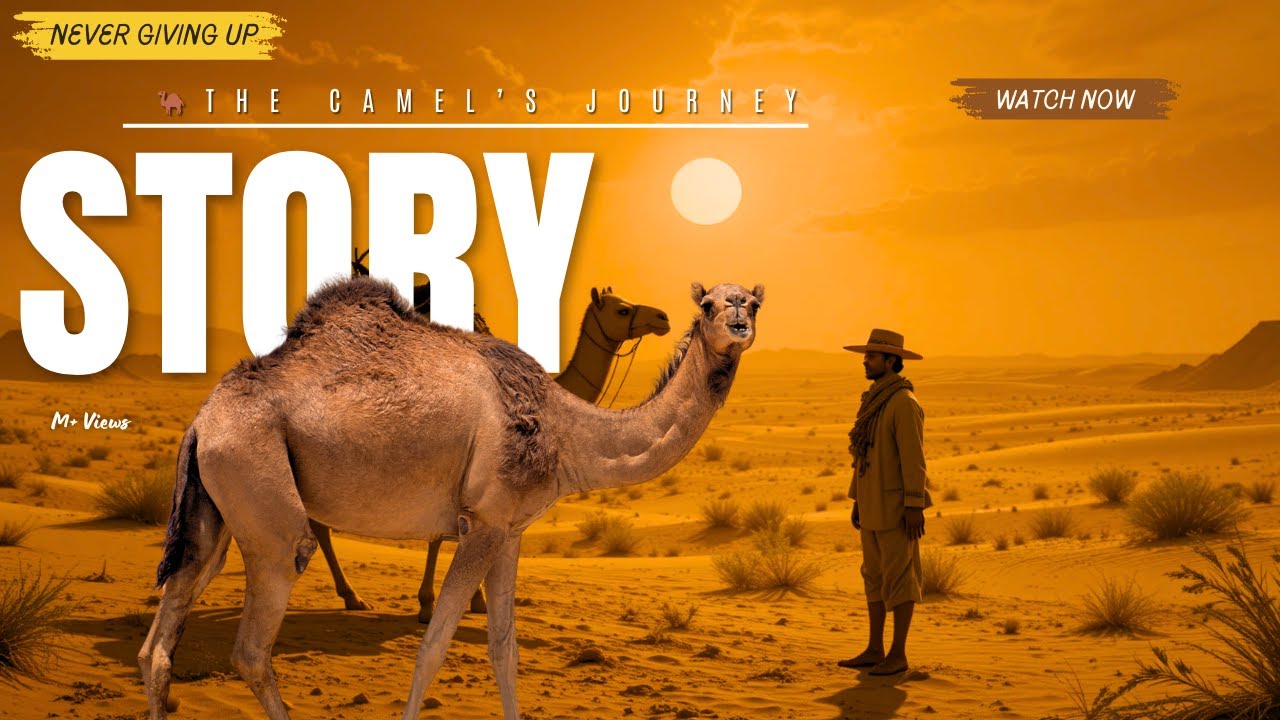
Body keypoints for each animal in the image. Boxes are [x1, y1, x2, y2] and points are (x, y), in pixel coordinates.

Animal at [311, 270, 671, 621]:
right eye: (622, 310)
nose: (663, 317)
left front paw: (475, 600)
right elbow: (441, 536)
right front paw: (429, 605)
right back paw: (352, 596)